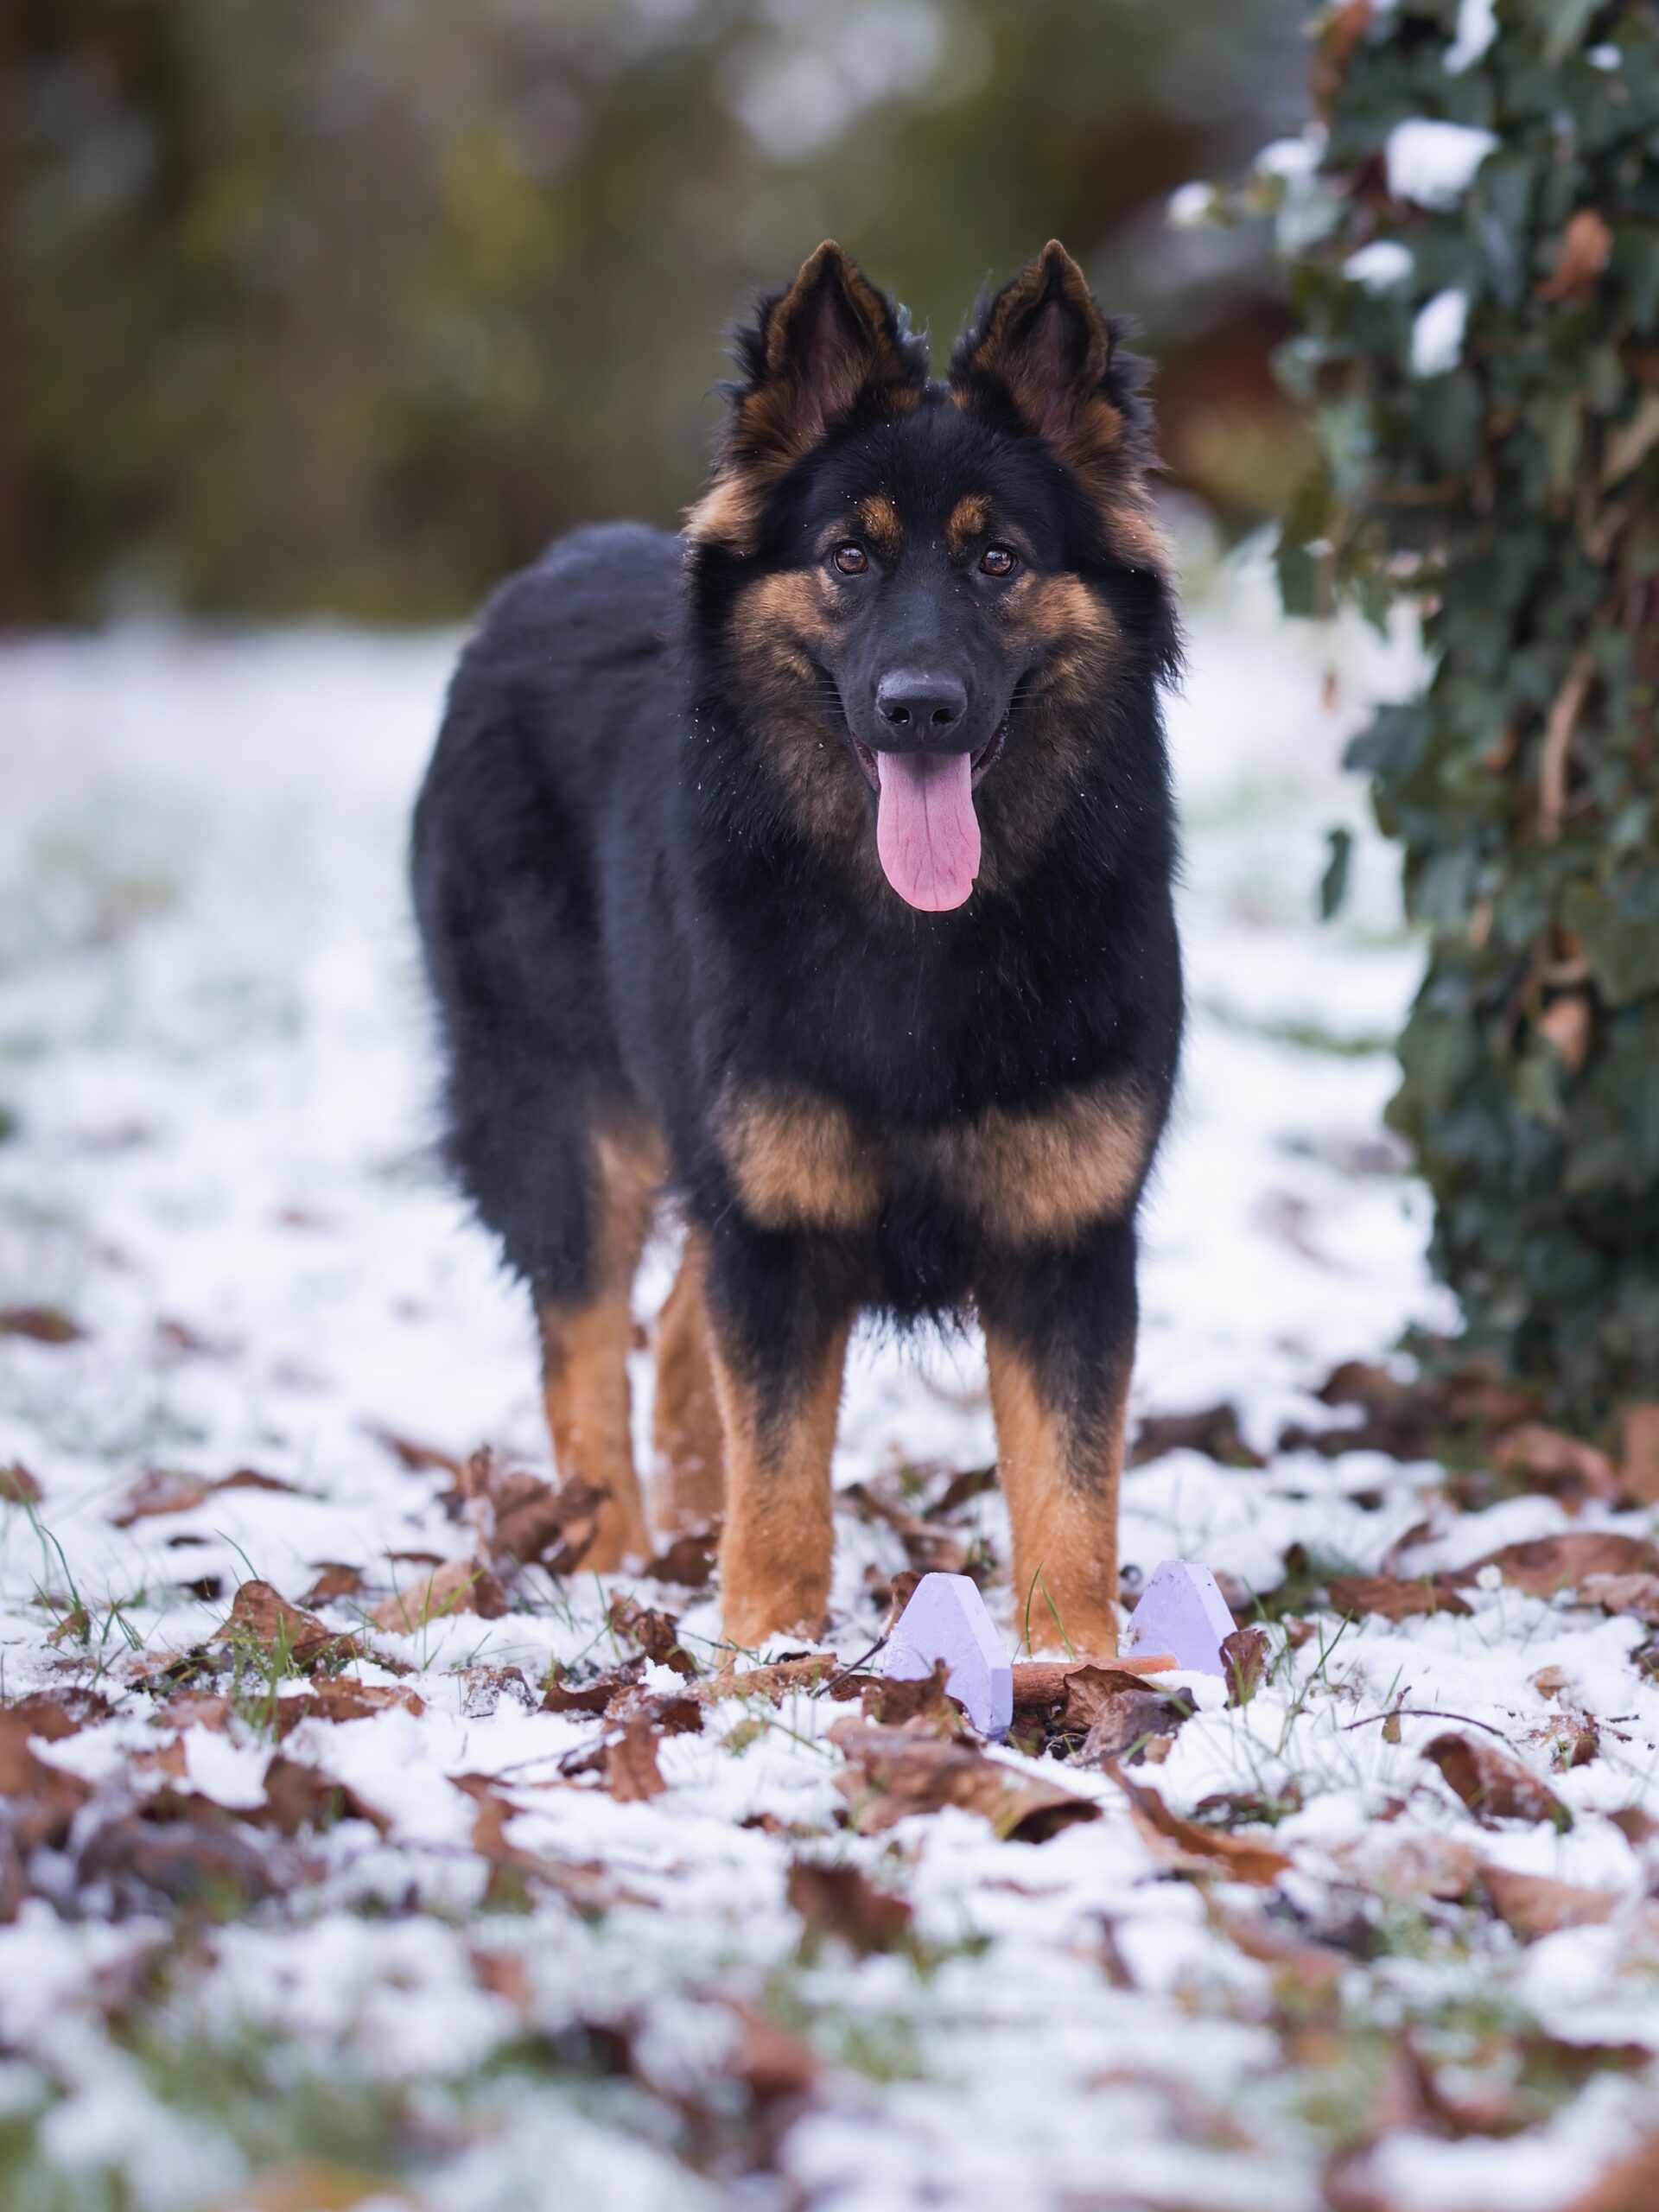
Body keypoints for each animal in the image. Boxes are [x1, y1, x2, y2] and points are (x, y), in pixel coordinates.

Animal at [422, 242, 1185, 1663]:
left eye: (998, 558)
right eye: (850, 558)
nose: (920, 708)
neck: (920, 938)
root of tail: (540, 575)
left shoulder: (1062, 1243)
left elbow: (1069, 1489)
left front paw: (1077, 1669)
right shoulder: (780, 1233)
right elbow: (781, 1478)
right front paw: (764, 1661)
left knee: (675, 1332)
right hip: (572, 1130)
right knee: (584, 1342)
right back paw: (611, 1555)